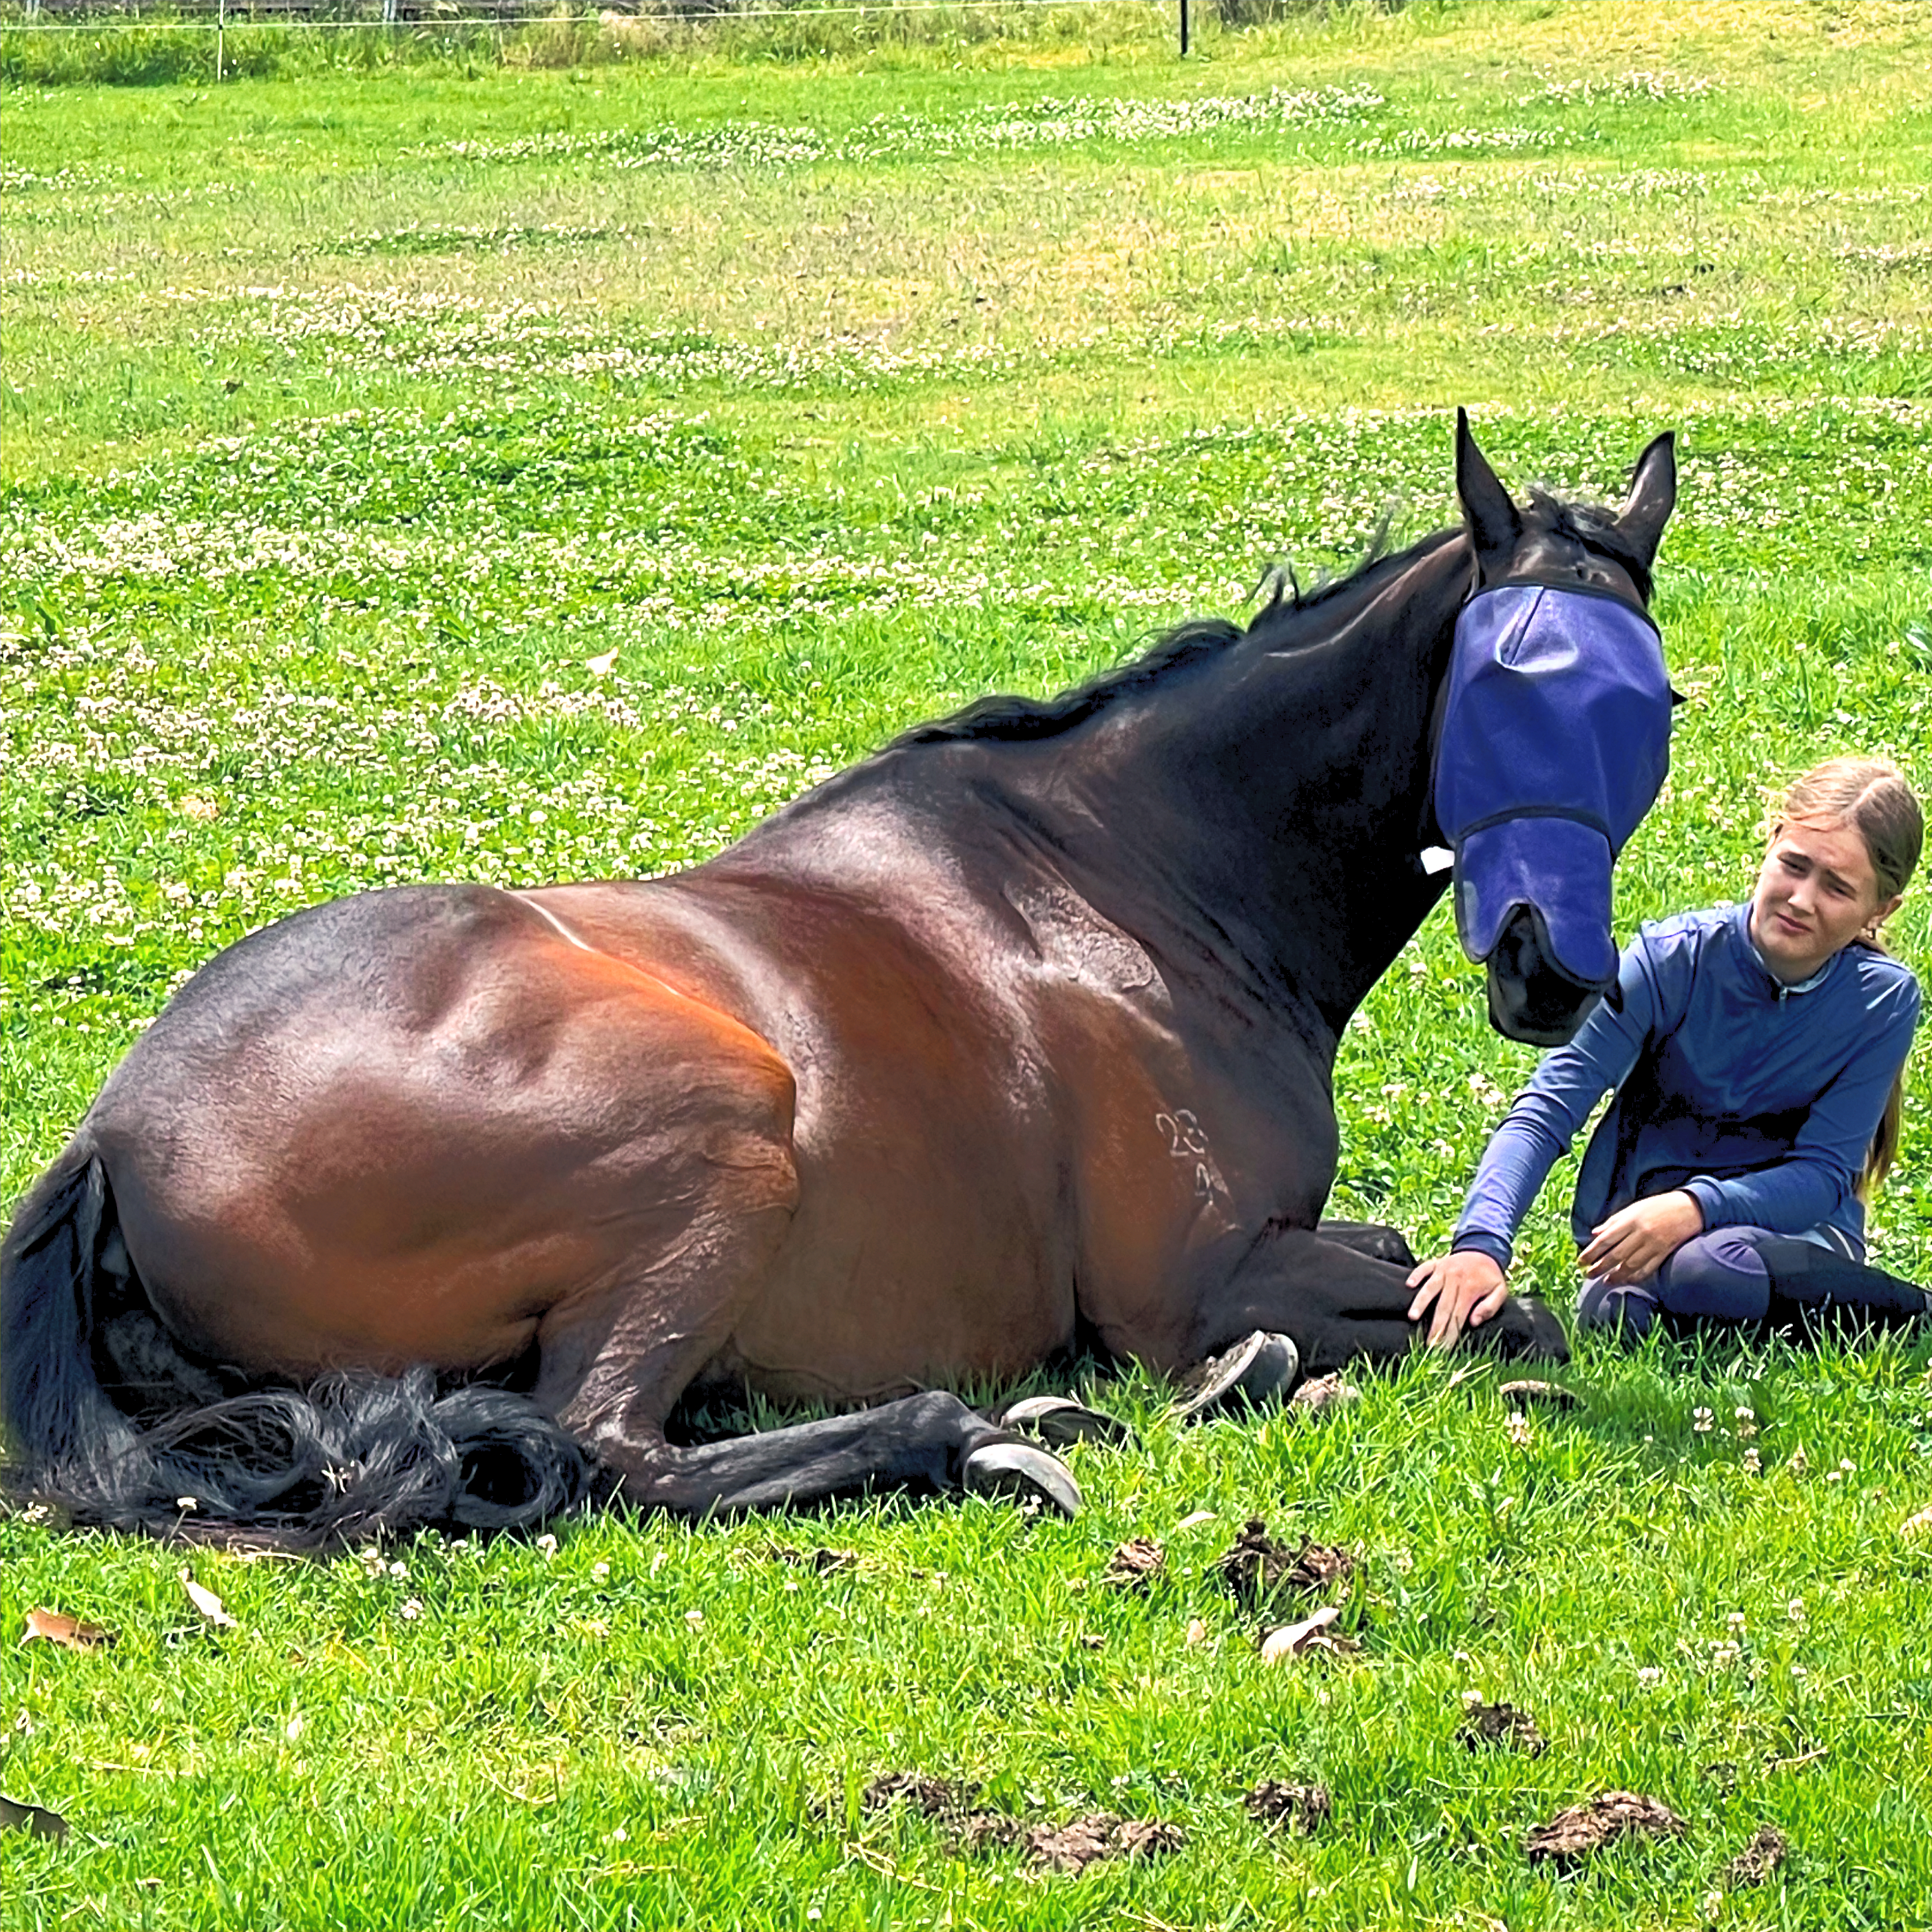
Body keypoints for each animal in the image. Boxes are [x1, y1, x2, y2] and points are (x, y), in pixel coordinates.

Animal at [0, 412, 1677, 1547]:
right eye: (1497, 685)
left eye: (1650, 702)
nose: (1553, 968)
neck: (1133, 878)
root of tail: (118, 1135)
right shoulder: (1192, 1278)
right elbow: (1494, 1315)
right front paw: (1264, 1374)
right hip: (723, 1132)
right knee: (606, 1446)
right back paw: (975, 1438)